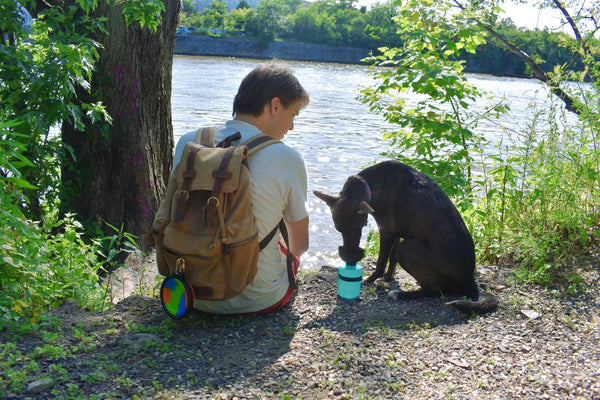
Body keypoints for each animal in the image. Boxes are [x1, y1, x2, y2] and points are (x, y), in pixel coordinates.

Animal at [314, 161, 496, 314]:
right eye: (339, 229)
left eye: (359, 227)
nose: (349, 259)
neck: (369, 186)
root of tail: (468, 278)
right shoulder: (396, 233)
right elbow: (391, 259)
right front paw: (389, 277)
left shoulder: (386, 231)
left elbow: (381, 262)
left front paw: (371, 279)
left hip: (407, 249)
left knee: (436, 290)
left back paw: (402, 294)